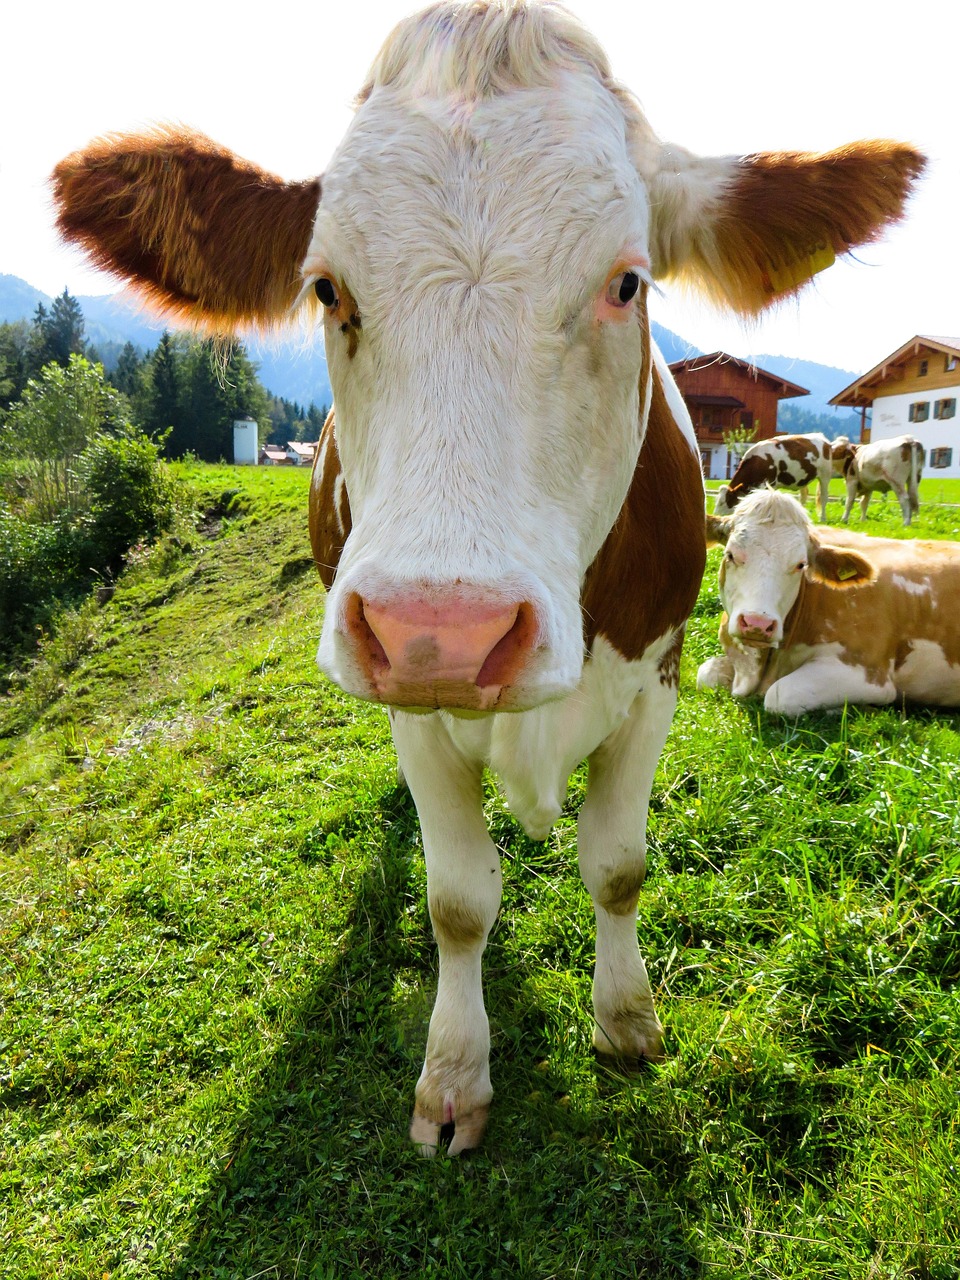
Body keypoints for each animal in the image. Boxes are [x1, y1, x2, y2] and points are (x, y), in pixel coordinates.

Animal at [698, 487, 960, 715]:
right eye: (730, 554)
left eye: (800, 565)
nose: (757, 624)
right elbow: (706, 673)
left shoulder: (868, 673)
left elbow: (778, 695)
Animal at [714, 432, 847, 522]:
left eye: (723, 502)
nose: (715, 516)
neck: (758, 462)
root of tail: (824, 440)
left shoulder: (768, 484)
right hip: (803, 478)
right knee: (804, 495)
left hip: (825, 475)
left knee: (823, 497)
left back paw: (822, 518)